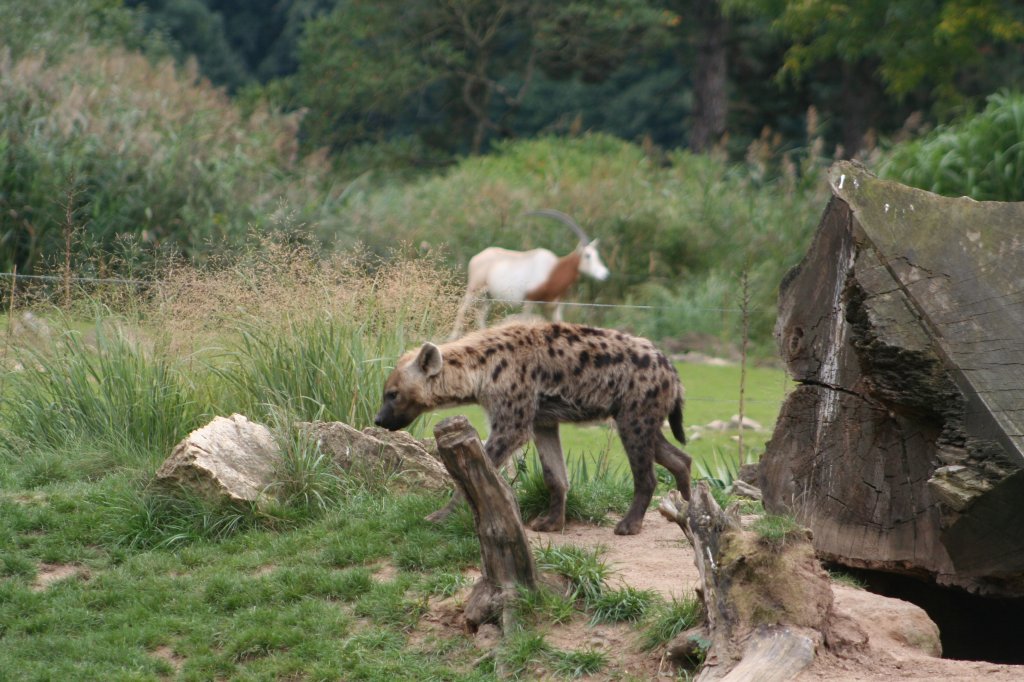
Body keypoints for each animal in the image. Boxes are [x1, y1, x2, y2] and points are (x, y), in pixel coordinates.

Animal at [450, 206, 606, 333]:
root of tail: (477, 257)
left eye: (597, 254)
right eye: (587, 255)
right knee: (462, 309)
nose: (604, 274)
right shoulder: (530, 300)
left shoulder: (554, 305)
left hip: (489, 296)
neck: (553, 270)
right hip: (474, 289)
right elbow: (524, 321)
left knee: (480, 314)